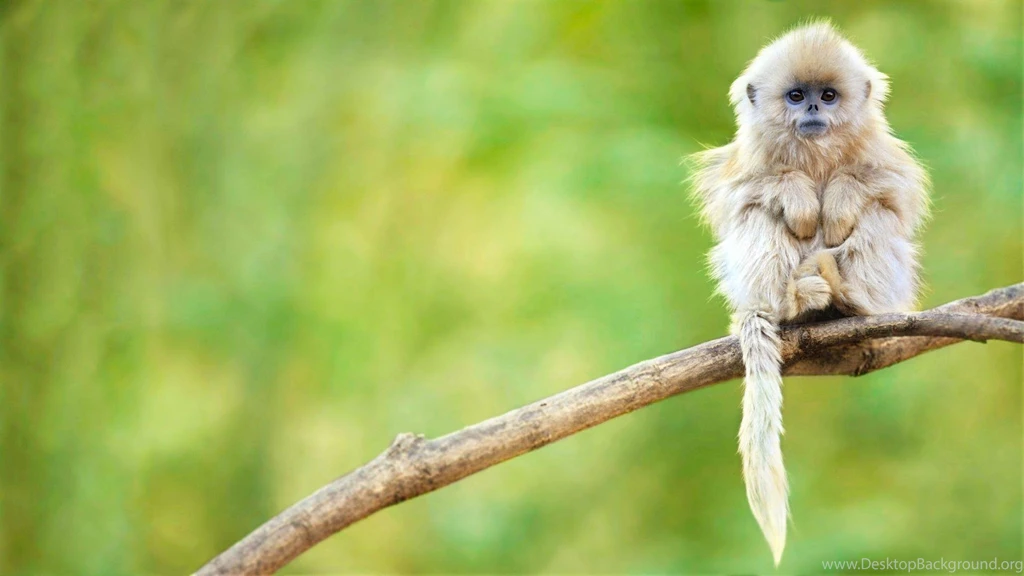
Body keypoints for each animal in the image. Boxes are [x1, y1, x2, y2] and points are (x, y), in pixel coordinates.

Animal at [688, 22, 929, 565]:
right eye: (796, 96)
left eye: (829, 95)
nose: (814, 108)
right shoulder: (743, 166)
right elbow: (747, 195)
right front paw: (798, 195)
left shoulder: (884, 157)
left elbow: (891, 192)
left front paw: (837, 200)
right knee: (758, 216)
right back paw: (793, 303)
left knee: (876, 216)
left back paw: (849, 299)